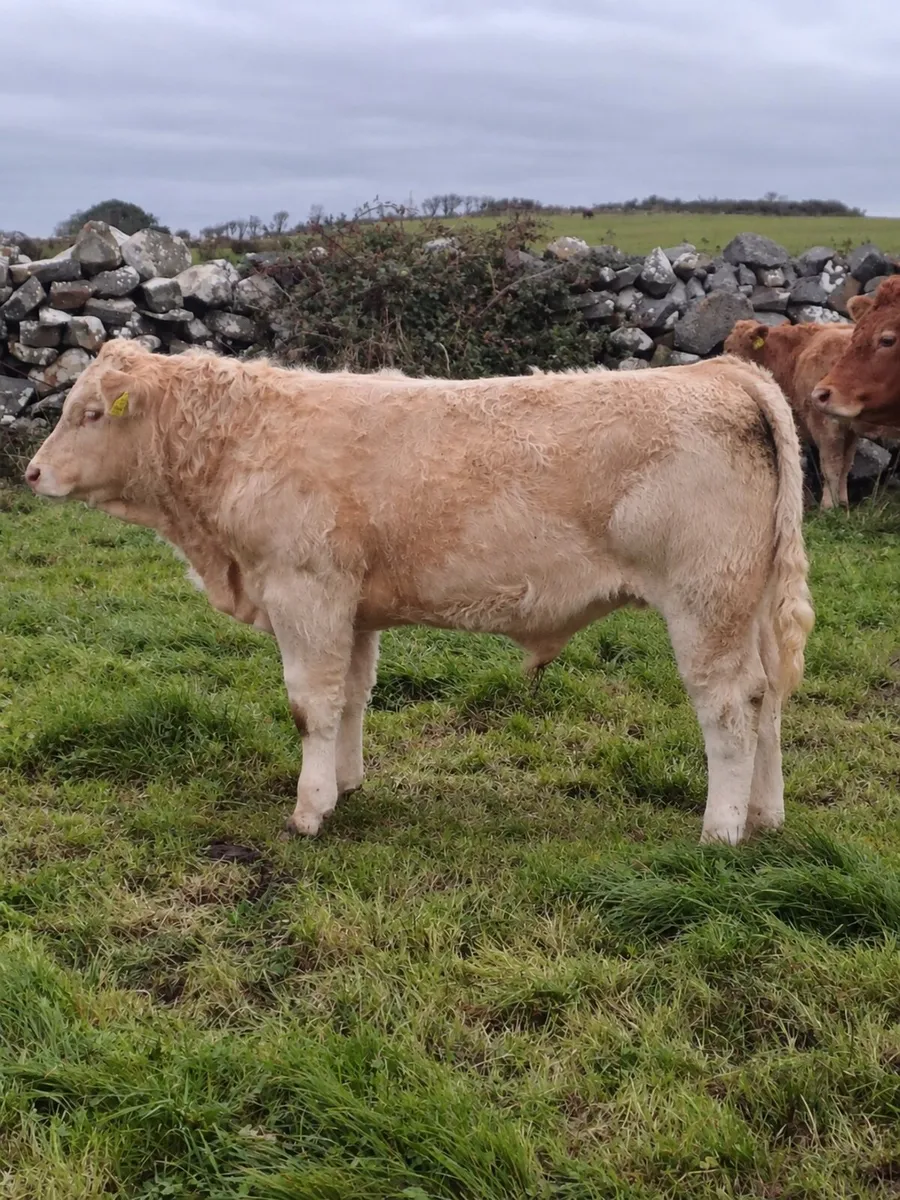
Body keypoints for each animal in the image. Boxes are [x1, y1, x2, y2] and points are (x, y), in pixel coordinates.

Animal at [24, 341, 814, 846]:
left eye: (90, 413)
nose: (31, 473)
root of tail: (724, 371)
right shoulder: (353, 608)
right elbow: (351, 696)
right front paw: (344, 786)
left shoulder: (305, 593)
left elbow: (309, 705)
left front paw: (307, 812)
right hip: (748, 607)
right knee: (767, 699)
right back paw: (766, 817)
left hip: (705, 603)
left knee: (729, 707)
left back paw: (720, 830)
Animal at [723, 318, 884, 509]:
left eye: (730, 349)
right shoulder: (849, 431)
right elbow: (846, 464)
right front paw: (843, 502)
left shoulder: (825, 425)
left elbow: (831, 465)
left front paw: (829, 505)